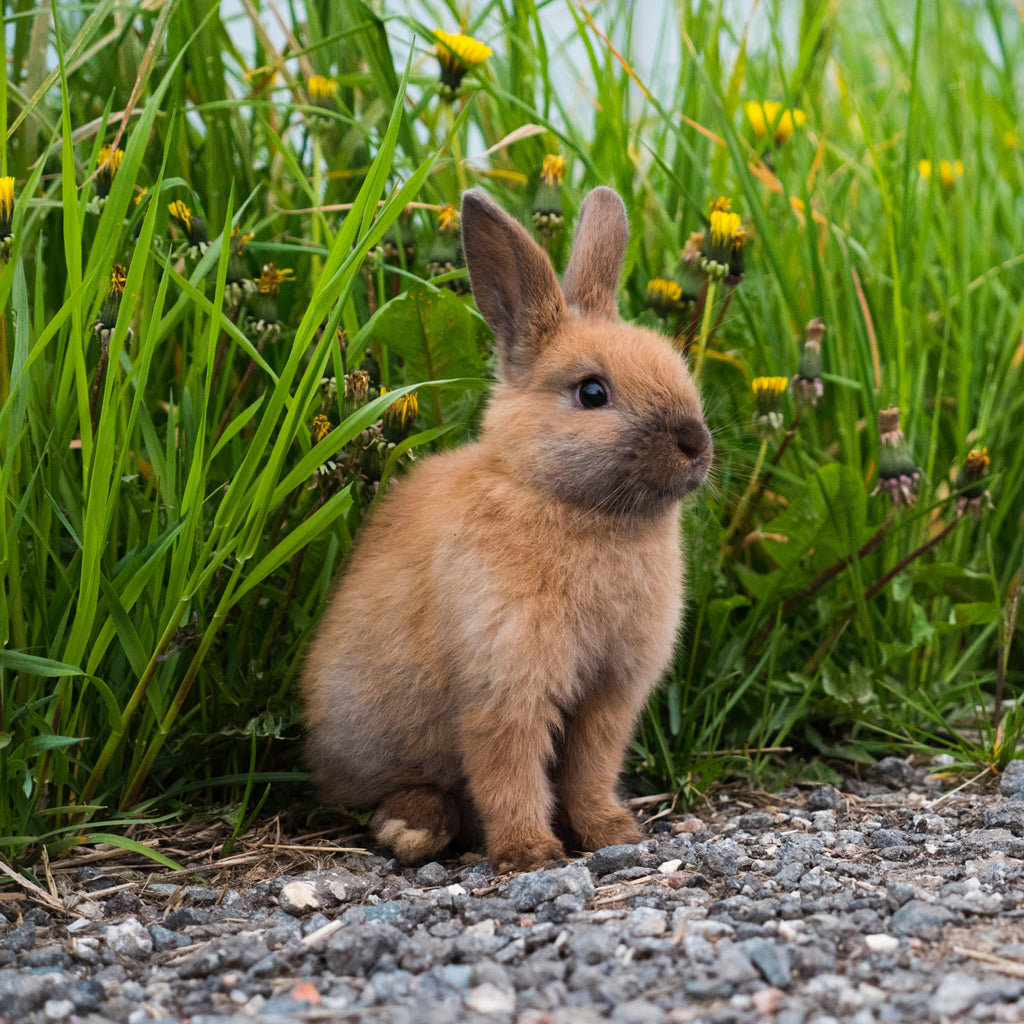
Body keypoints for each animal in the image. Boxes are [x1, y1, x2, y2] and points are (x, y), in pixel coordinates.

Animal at [299, 186, 708, 872]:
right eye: (591, 392)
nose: (696, 445)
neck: (566, 502)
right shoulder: (504, 684)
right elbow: (508, 772)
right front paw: (529, 853)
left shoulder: (609, 696)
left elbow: (589, 770)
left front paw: (612, 834)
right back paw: (412, 828)